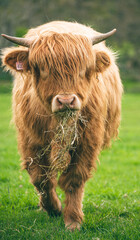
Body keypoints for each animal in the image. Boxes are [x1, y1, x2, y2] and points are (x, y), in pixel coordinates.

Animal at [1, 20, 122, 231]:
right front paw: (54, 208)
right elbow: (41, 179)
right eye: (42, 68)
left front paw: (72, 220)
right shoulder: (30, 141)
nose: (66, 101)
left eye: (83, 69)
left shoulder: (87, 142)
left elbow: (74, 179)